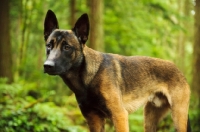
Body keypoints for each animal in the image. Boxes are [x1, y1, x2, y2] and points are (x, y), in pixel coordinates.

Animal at [43, 9, 191, 131]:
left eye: (67, 47)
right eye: (49, 45)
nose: (47, 65)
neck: (87, 79)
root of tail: (178, 70)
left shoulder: (119, 115)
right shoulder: (94, 120)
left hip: (178, 116)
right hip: (149, 119)